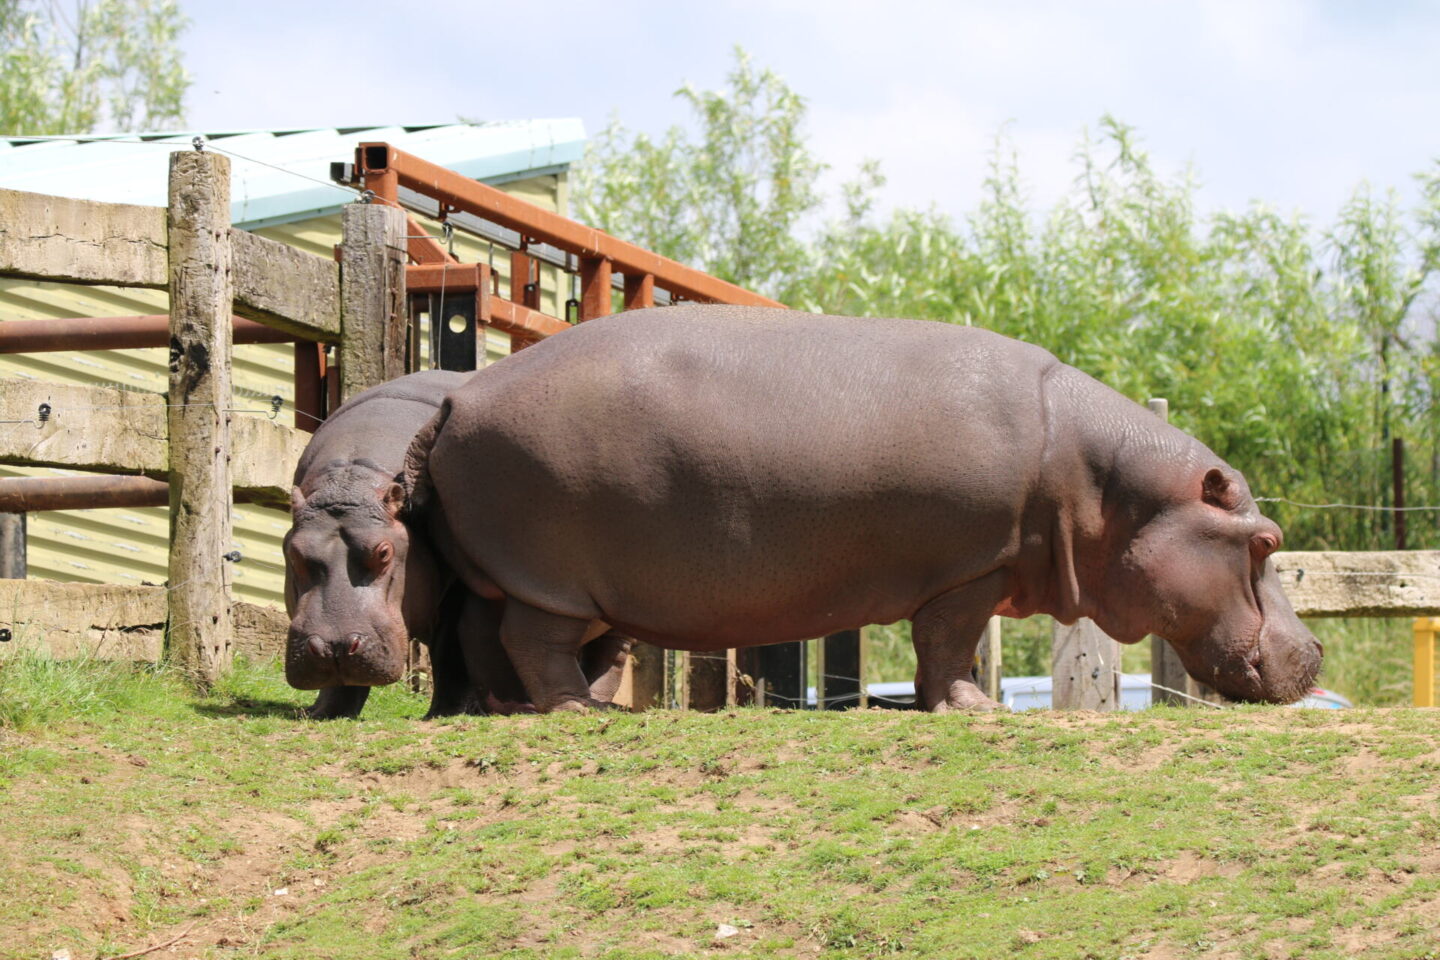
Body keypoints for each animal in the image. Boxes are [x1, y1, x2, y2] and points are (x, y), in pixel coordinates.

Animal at [402, 305, 1322, 713]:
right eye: (1265, 540)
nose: (1314, 651)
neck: (1107, 485)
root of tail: (461, 397)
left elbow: (934, 651)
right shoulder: (972, 565)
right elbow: (947, 642)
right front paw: (976, 711)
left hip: (511, 574)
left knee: (481, 636)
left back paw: (498, 710)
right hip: (553, 577)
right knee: (533, 643)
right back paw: (580, 711)